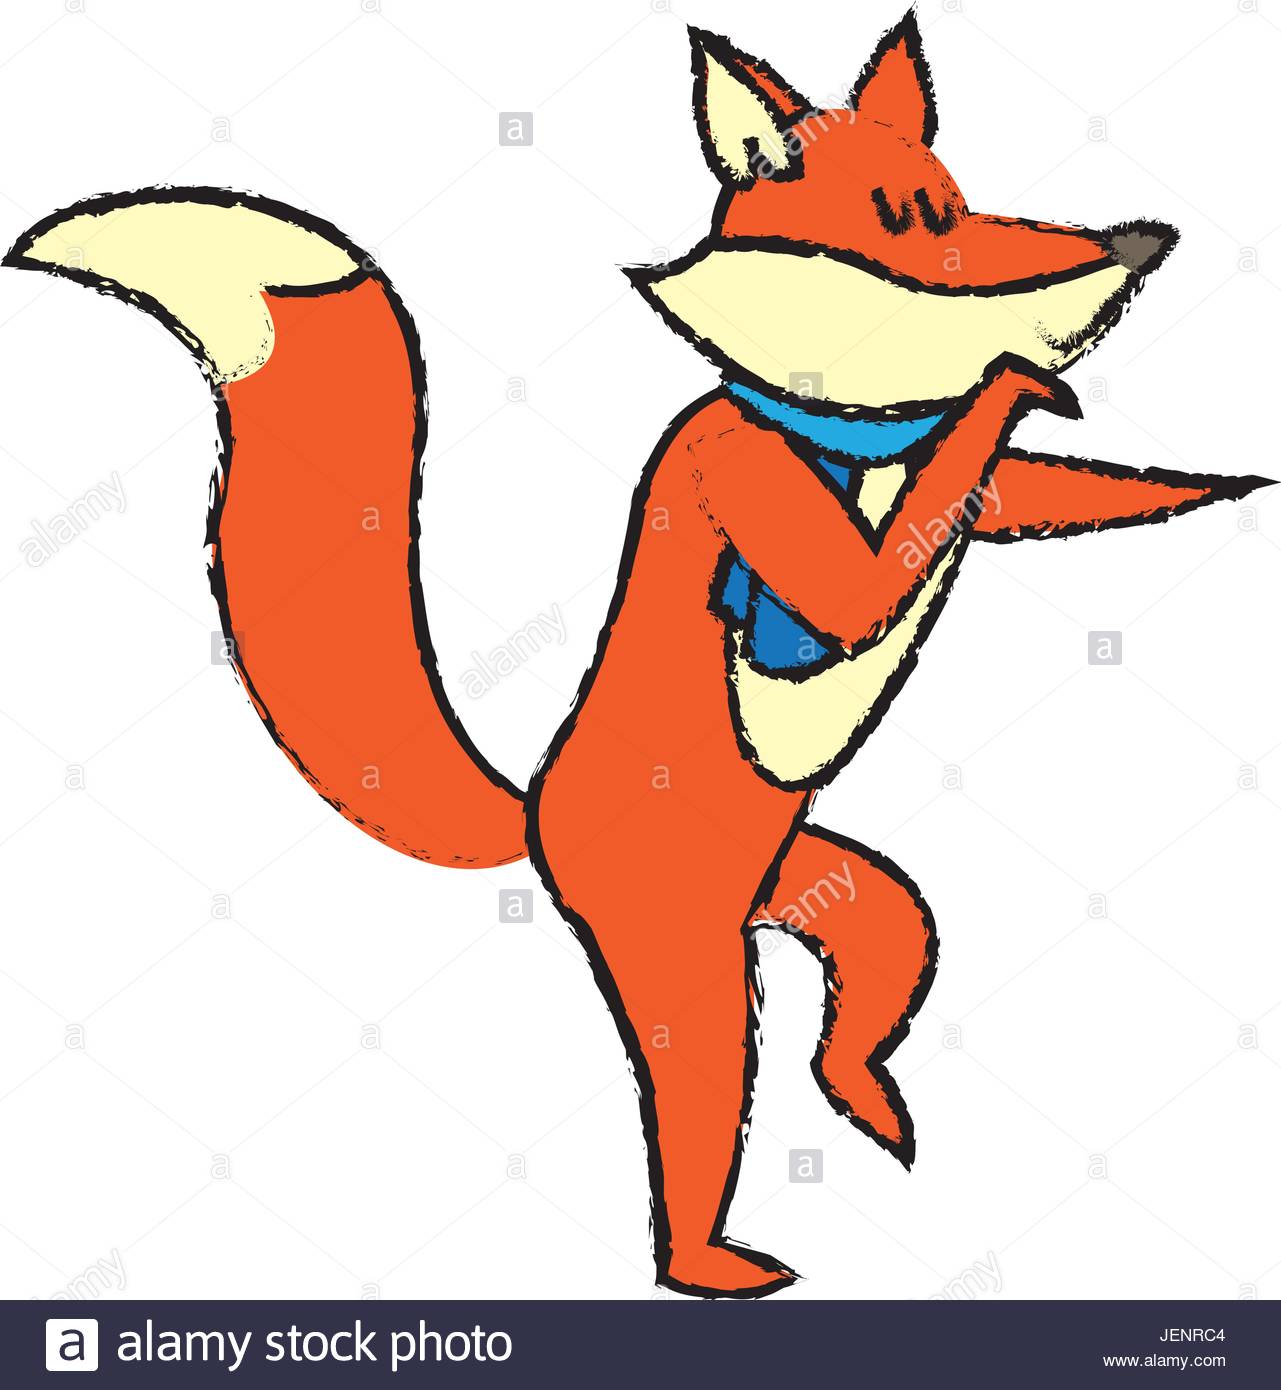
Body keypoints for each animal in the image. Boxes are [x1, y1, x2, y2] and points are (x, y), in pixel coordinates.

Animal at [4, 12, 1267, 1298]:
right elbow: (867, 575)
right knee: (700, 1107)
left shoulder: (974, 501)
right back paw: (707, 1259)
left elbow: (1047, 494)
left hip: (834, 891)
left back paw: (865, 1097)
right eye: (915, 216)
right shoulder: (756, 488)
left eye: (958, 195)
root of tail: (535, 812)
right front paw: (1016, 387)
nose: (1140, 242)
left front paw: (1214, 482)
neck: (846, 436)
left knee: (872, 977)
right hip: (686, 963)